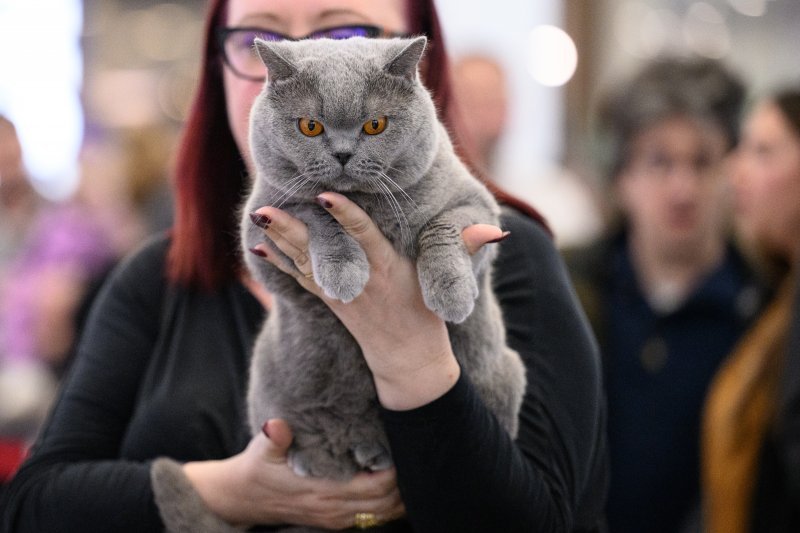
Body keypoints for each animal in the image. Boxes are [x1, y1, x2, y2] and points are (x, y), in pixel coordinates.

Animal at [239, 35, 524, 490]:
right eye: (310, 126)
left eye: (375, 125)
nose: (342, 153)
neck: (367, 206)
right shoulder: (261, 225)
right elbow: (317, 211)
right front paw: (344, 273)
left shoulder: (476, 206)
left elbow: (441, 227)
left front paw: (451, 295)